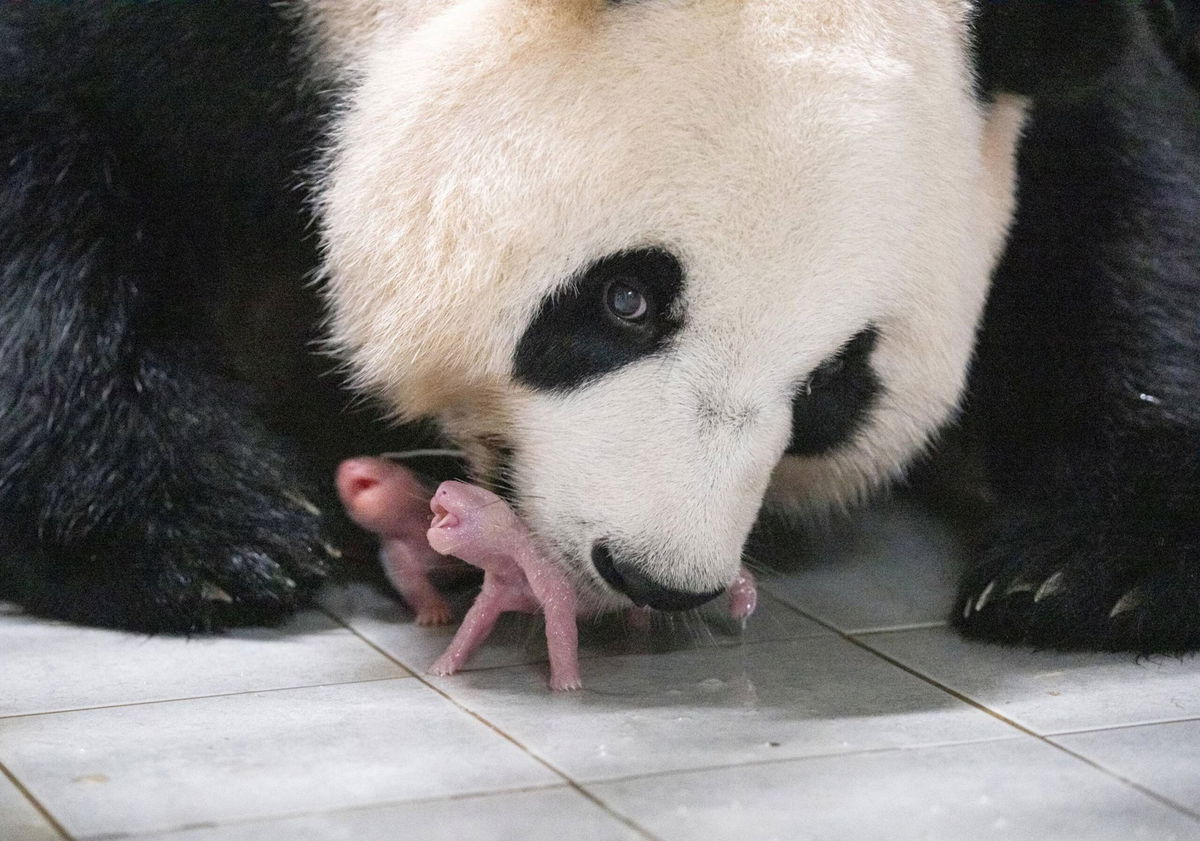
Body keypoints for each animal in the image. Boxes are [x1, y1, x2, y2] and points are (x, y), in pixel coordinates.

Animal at [2, 1, 1200, 647]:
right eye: (627, 299)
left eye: (833, 387)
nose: (656, 574)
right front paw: (198, 533)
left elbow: (1124, 201)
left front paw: (1094, 569)